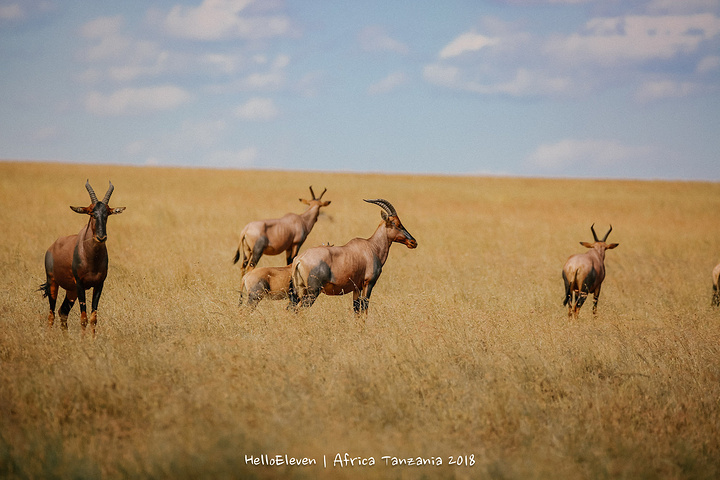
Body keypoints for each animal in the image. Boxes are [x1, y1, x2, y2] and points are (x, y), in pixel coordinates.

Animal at [39, 180, 125, 334]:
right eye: (92, 213)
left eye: (107, 214)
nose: (101, 237)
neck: (91, 258)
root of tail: (51, 247)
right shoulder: (80, 285)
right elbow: (83, 318)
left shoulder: (99, 285)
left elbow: (93, 318)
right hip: (53, 283)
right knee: (51, 314)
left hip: (71, 291)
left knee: (63, 311)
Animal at [290, 199, 420, 316]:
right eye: (397, 224)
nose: (413, 242)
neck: (371, 247)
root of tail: (299, 259)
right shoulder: (368, 283)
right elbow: (364, 308)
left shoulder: (356, 288)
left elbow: (356, 310)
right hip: (312, 291)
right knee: (299, 309)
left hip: (300, 290)